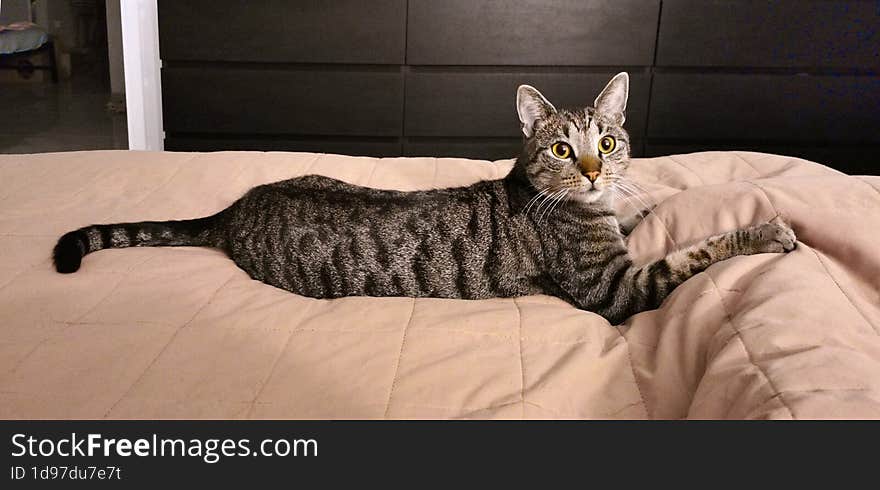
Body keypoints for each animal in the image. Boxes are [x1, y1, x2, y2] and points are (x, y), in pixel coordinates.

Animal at [55, 72, 796, 324]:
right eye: (562, 149)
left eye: (607, 142)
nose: (591, 171)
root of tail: (236, 209)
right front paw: (766, 229)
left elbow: (652, 209)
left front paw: (677, 190)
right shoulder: (616, 291)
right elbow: (693, 252)